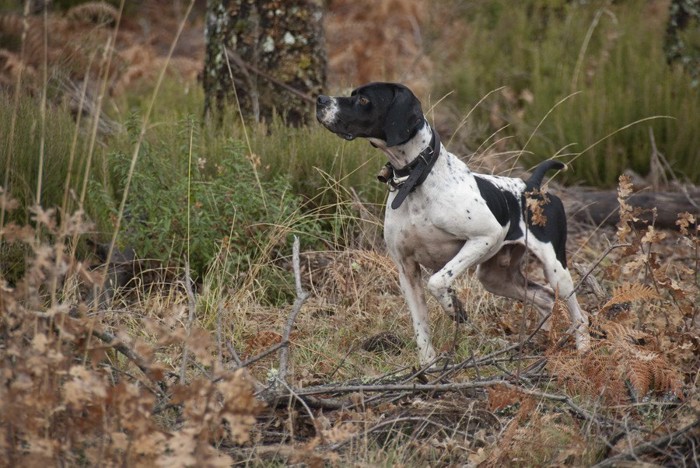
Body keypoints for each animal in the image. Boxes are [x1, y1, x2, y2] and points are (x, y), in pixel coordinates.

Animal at [318, 82, 592, 364]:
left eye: (363, 99)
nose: (320, 100)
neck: (416, 180)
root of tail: (532, 186)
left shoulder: (485, 237)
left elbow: (438, 281)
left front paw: (453, 307)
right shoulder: (406, 270)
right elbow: (420, 327)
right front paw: (428, 367)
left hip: (556, 270)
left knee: (580, 315)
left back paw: (583, 352)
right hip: (495, 278)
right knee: (546, 299)